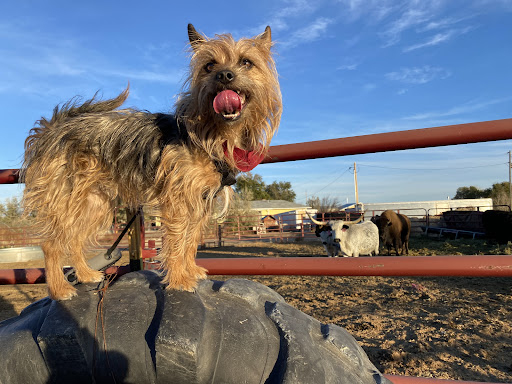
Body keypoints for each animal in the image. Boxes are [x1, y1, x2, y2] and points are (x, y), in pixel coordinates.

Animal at [20, 24, 282, 300]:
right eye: (209, 65)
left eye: (246, 62)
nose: (224, 75)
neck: (213, 133)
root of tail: (54, 128)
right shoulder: (179, 200)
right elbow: (177, 241)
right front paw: (179, 279)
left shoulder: (200, 201)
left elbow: (190, 240)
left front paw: (190, 270)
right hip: (66, 198)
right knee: (51, 244)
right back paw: (59, 289)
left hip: (93, 203)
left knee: (74, 239)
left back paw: (85, 274)